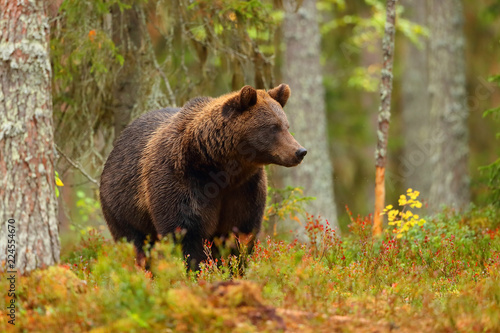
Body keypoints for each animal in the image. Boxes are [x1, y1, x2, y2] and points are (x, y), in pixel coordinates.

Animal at [99, 84, 306, 268]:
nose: (300, 151)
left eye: (286, 125)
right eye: (273, 127)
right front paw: (196, 270)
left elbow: (239, 234)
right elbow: (186, 233)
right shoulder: (183, 180)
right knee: (137, 244)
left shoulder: (245, 188)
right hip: (124, 207)